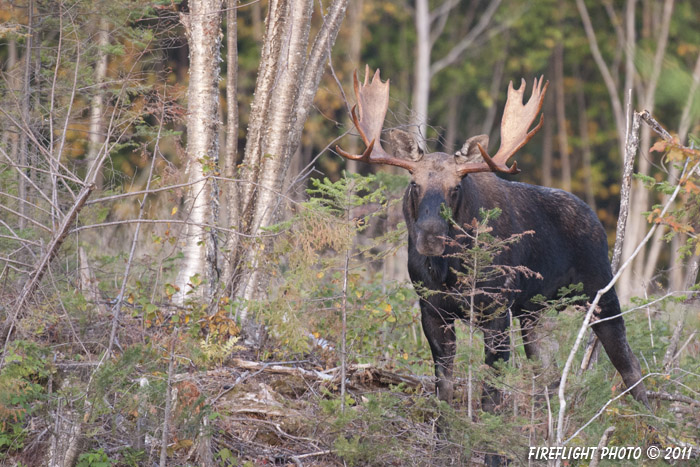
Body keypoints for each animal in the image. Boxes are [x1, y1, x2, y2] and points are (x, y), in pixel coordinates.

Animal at [336, 66, 648, 414]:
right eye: (414, 184)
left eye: (456, 187)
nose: (430, 236)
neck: (448, 271)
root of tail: (596, 219)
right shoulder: (431, 308)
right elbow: (444, 385)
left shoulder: (497, 307)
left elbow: (491, 390)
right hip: (535, 311)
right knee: (550, 374)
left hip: (599, 291)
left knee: (628, 362)